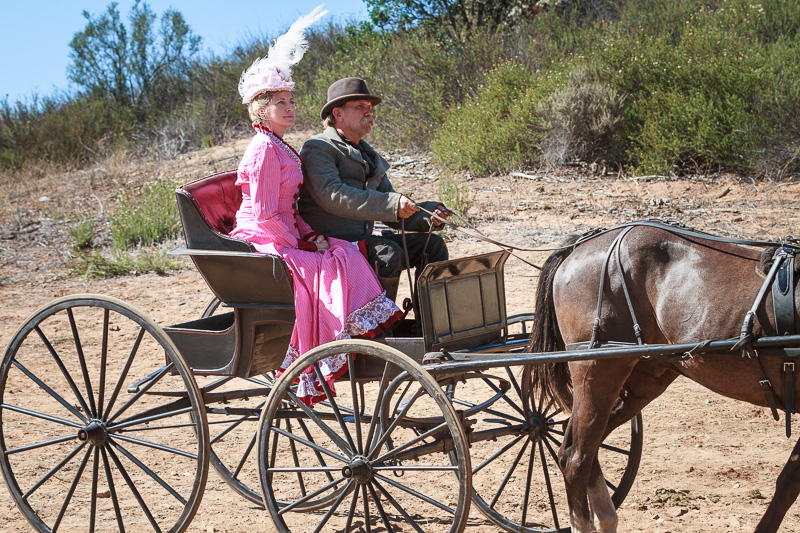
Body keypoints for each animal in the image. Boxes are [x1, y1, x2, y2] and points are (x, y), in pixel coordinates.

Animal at [532, 221, 800, 532]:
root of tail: (581, 244)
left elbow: (789, 481)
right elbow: (789, 482)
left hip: (642, 381)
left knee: (580, 442)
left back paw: (606, 517)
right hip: (598, 370)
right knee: (576, 458)